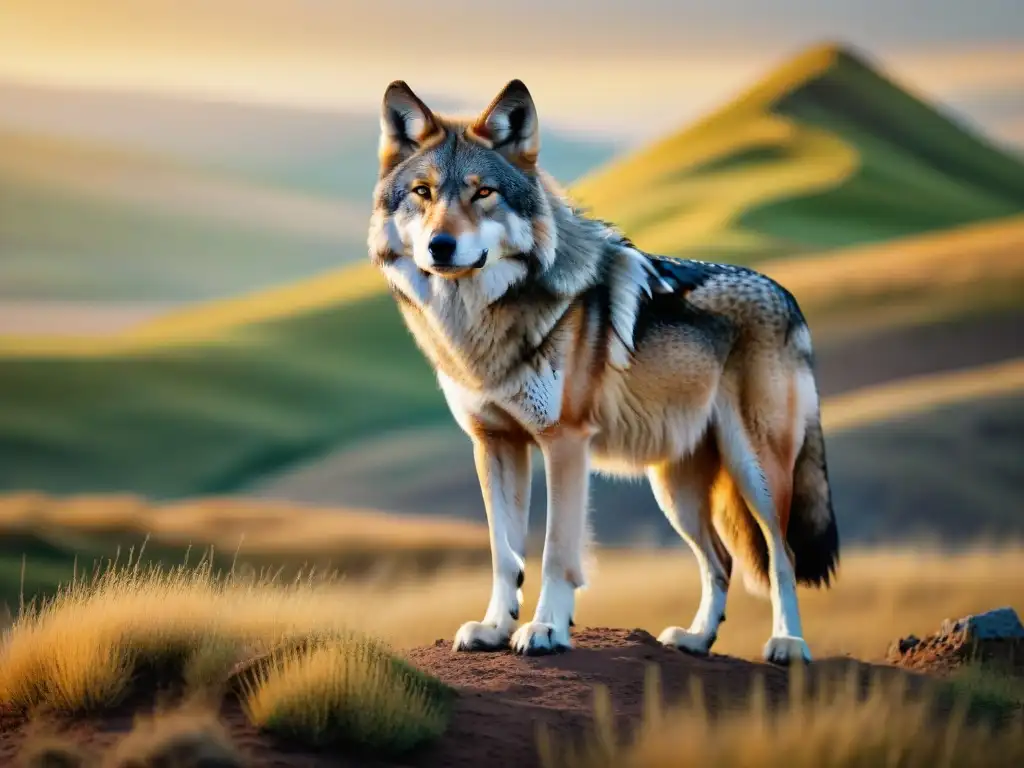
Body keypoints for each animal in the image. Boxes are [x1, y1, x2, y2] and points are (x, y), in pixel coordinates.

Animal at [367, 79, 839, 665]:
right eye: (424, 192)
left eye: (483, 194)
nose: (440, 246)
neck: (481, 325)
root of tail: (789, 298)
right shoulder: (495, 443)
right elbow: (504, 554)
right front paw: (495, 628)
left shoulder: (565, 442)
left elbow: (555, 551)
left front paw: (545, 629)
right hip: (675, 488)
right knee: (721, 561)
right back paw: (696, 639)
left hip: (756, 472)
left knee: (782, 556)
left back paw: (788, 643)